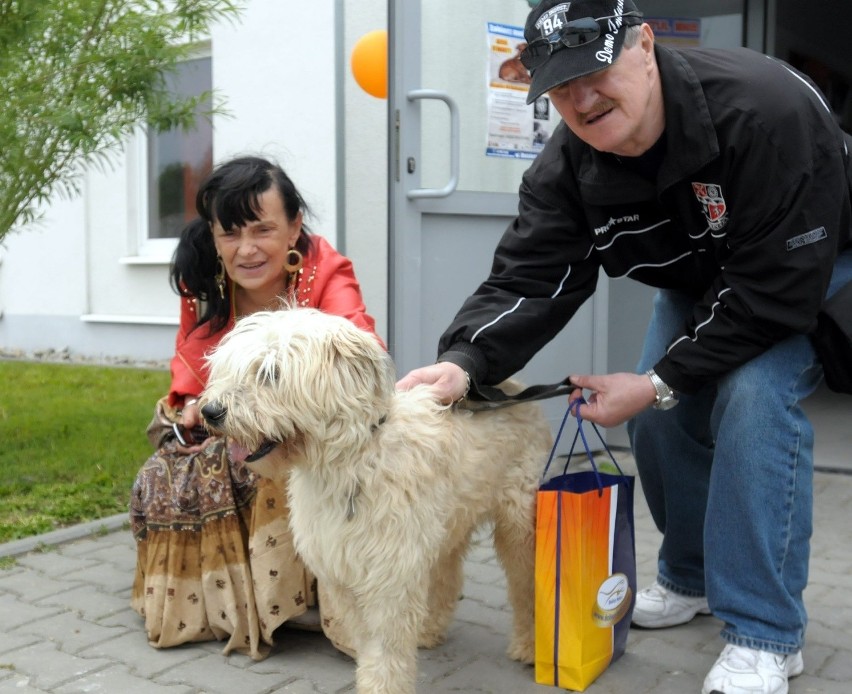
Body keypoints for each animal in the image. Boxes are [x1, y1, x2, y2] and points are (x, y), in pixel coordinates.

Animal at [199, 310, 548, 694]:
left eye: (270, 373)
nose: (210, 411)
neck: (352, 460)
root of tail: (515, 387)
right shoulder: (343, 570)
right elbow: (368, 642)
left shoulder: (389, 575)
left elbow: (384, 647)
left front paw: (383, 685)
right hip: (445, 526)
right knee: (448, 577)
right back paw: (429, 630)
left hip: (517, 524)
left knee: (528, 584)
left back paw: (531, 647)